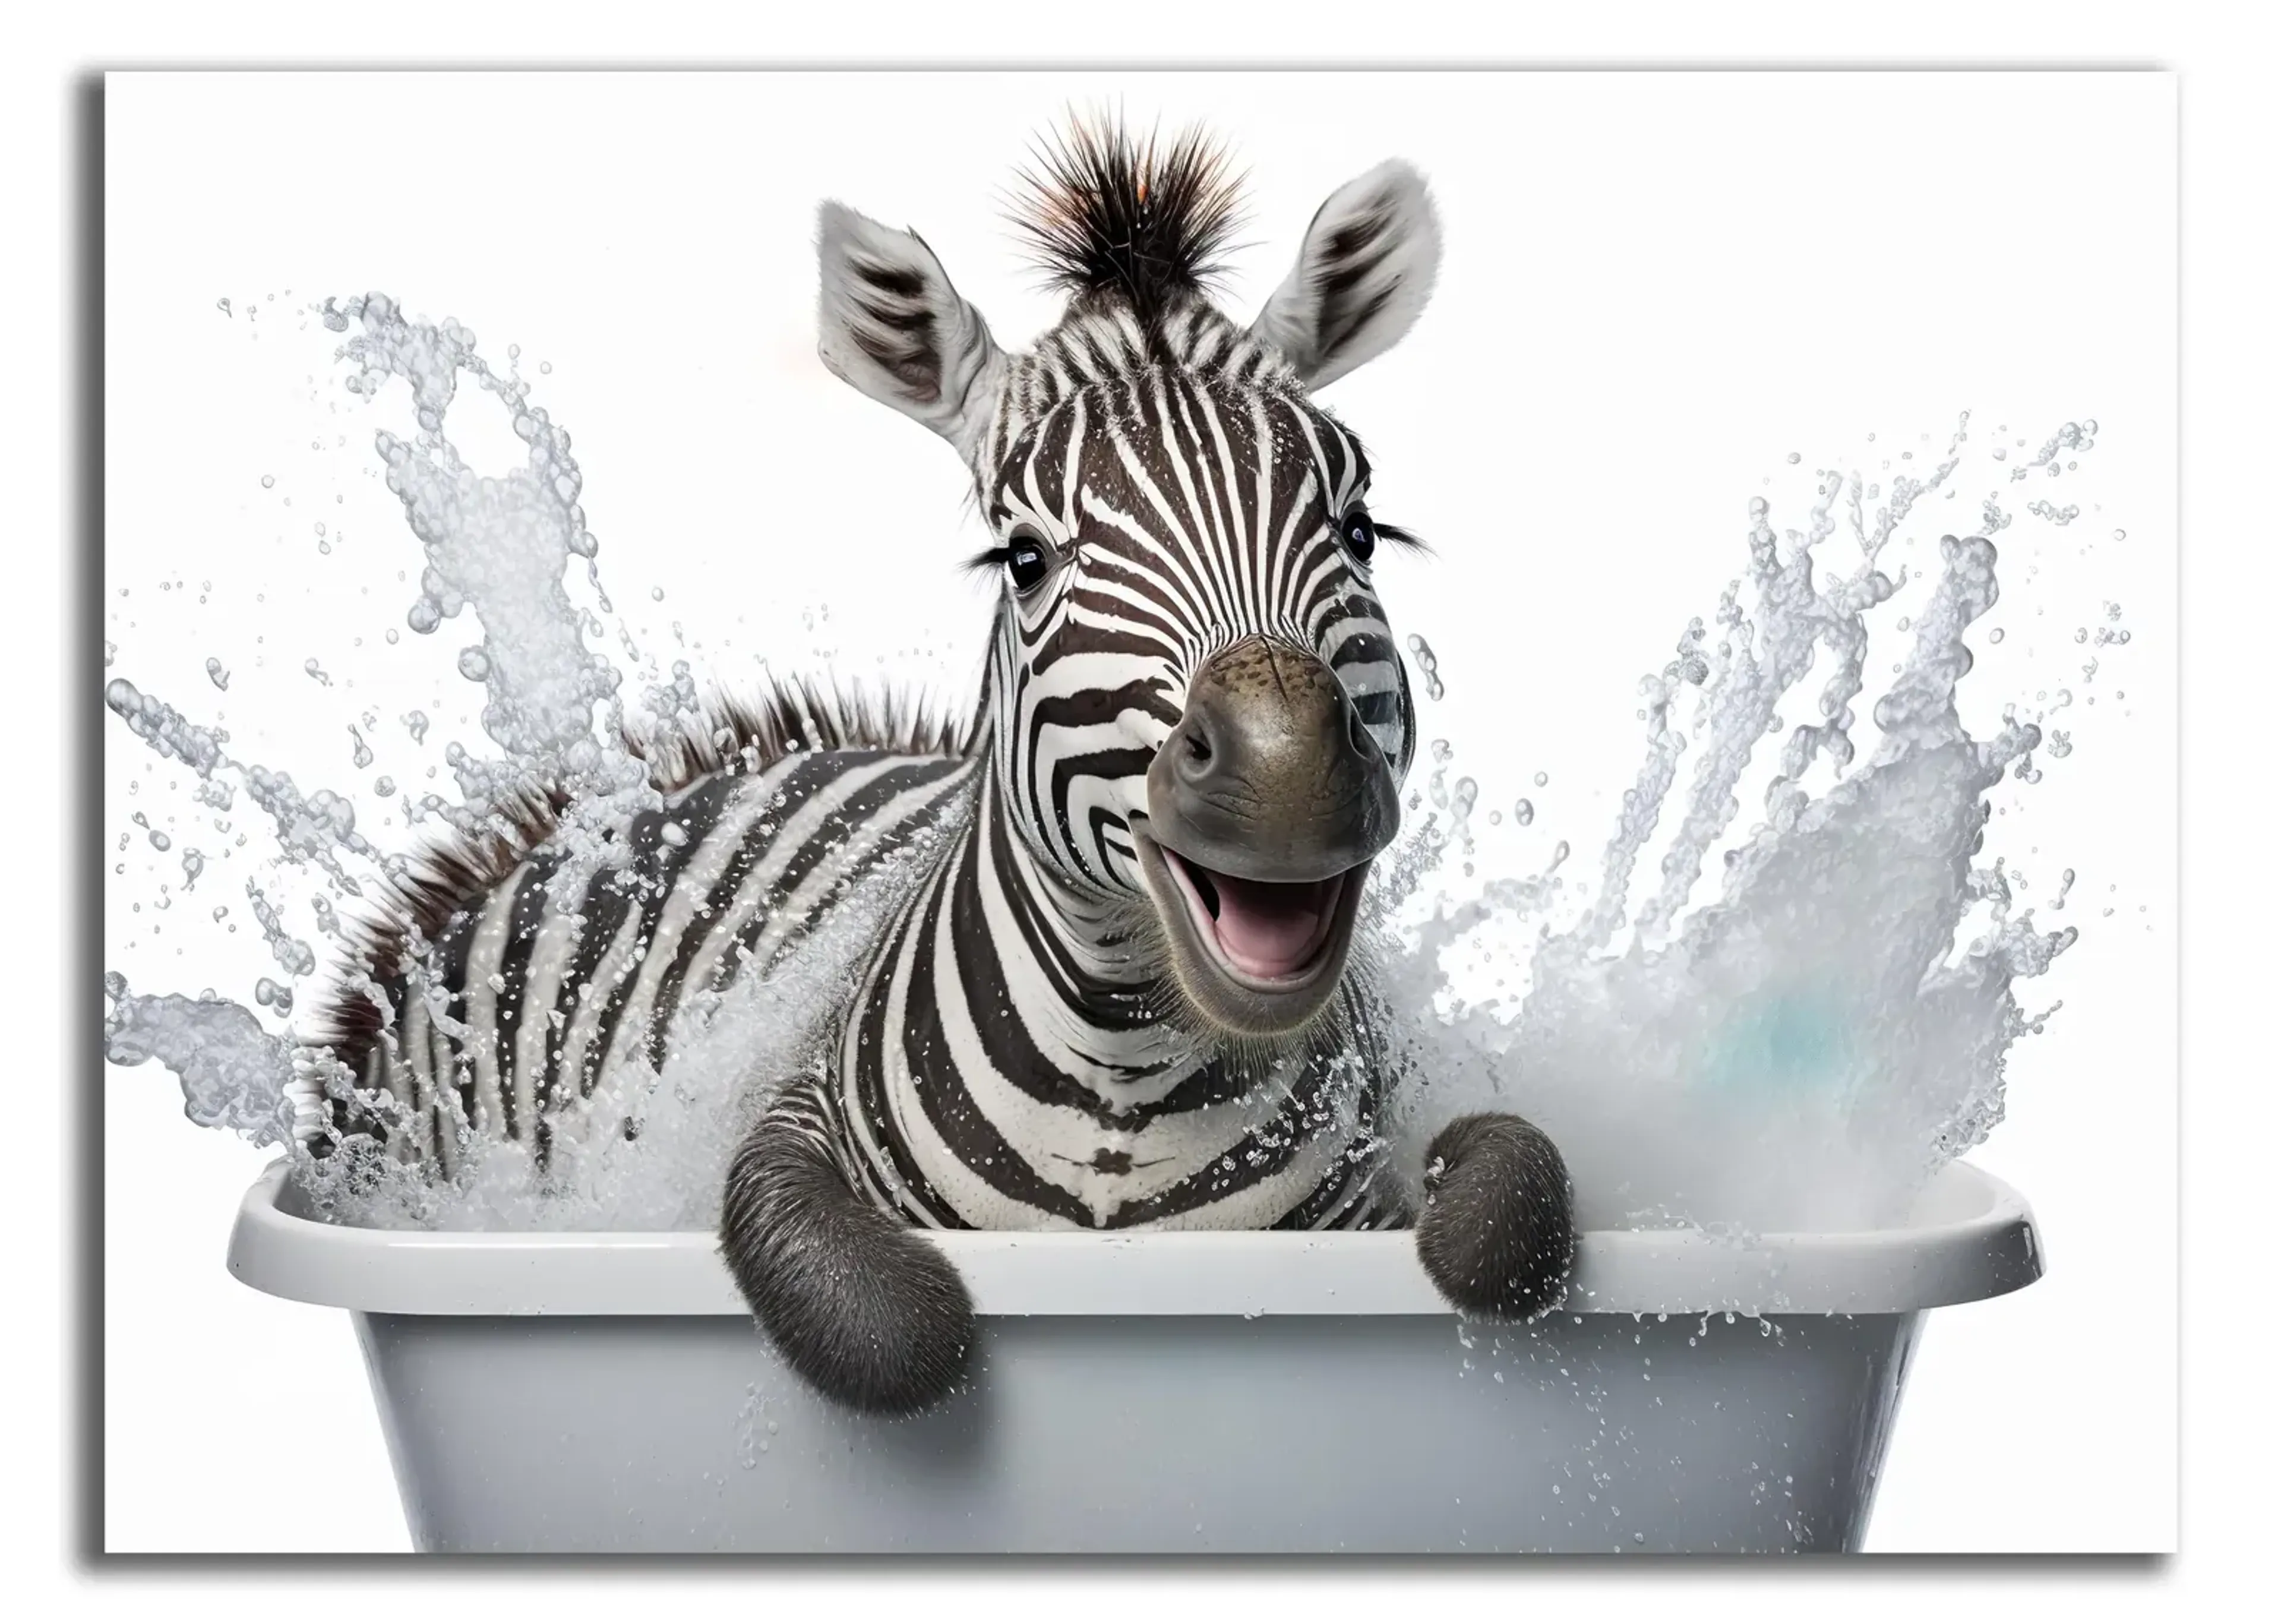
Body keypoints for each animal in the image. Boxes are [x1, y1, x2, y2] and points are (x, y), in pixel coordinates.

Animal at [300, 118, 1576, 1416]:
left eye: (1360, 528)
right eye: (1024, 556)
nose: (1282, 776)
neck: (1130, 1075)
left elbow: (1511, 1205)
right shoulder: (790, 1123)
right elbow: (886, 1324)